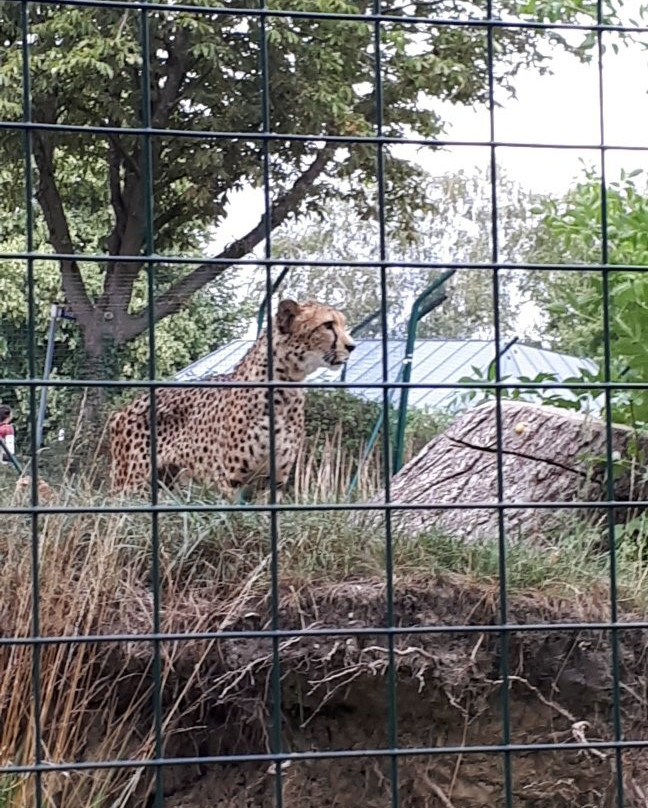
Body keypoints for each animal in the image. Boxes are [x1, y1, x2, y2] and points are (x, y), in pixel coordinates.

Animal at [109, 298, 356, 498]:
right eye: (328, 325)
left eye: (343, 324)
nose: (352, 346)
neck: (285, 385)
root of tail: (122, 410)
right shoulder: (230, 480)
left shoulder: (273, 482)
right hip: (131, 485)